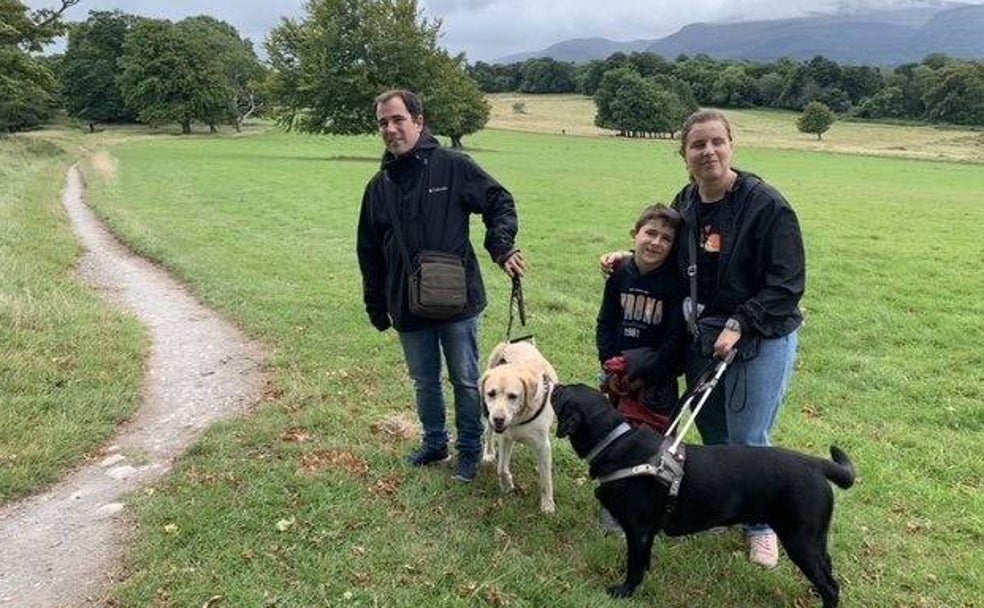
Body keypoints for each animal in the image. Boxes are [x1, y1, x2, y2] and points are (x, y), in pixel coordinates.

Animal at [480, 340, 559, 513]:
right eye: (491, 393)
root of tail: (511, 343)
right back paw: (488, 452)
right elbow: (501, 469)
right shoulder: (505, 438)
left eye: (513, 396)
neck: (520, 417)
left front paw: (547, 505)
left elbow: (546, 479)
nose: (499, 419)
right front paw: (507, 485)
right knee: (488, 432)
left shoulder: (543, 446)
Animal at [550, 383, 855, 607]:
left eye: (564, 394)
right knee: (828, 571)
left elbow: (634, 564)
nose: (556, 384)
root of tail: (815, 463)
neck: (613, 443)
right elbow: (644, 560)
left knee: (830, 586)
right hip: (815, 538)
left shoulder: (638, 530)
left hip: (800, 539)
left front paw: (625, 591)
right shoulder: (647, 533)